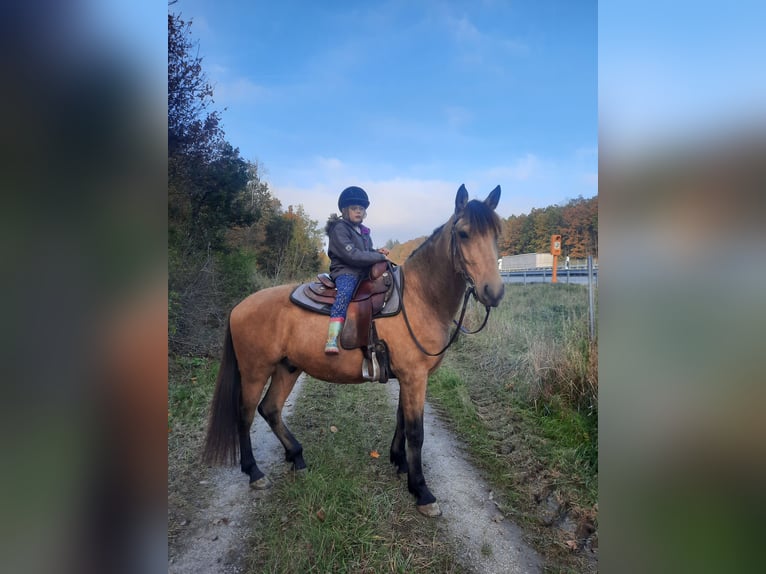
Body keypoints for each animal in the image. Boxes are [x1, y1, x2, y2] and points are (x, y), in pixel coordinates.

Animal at [201, 184, 508, 516]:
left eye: (496, 234)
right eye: (463, 233)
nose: (494, 292)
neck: (419, 298)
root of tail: (239, 307)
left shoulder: (408, 377)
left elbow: (401, 420)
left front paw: (399, 462)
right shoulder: (415, 377)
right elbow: (416, 432)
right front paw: (422, 491)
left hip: (287, 367)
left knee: (270, 409)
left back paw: (297, 456)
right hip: (255, 372)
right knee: (245, 415)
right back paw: (254, 472)